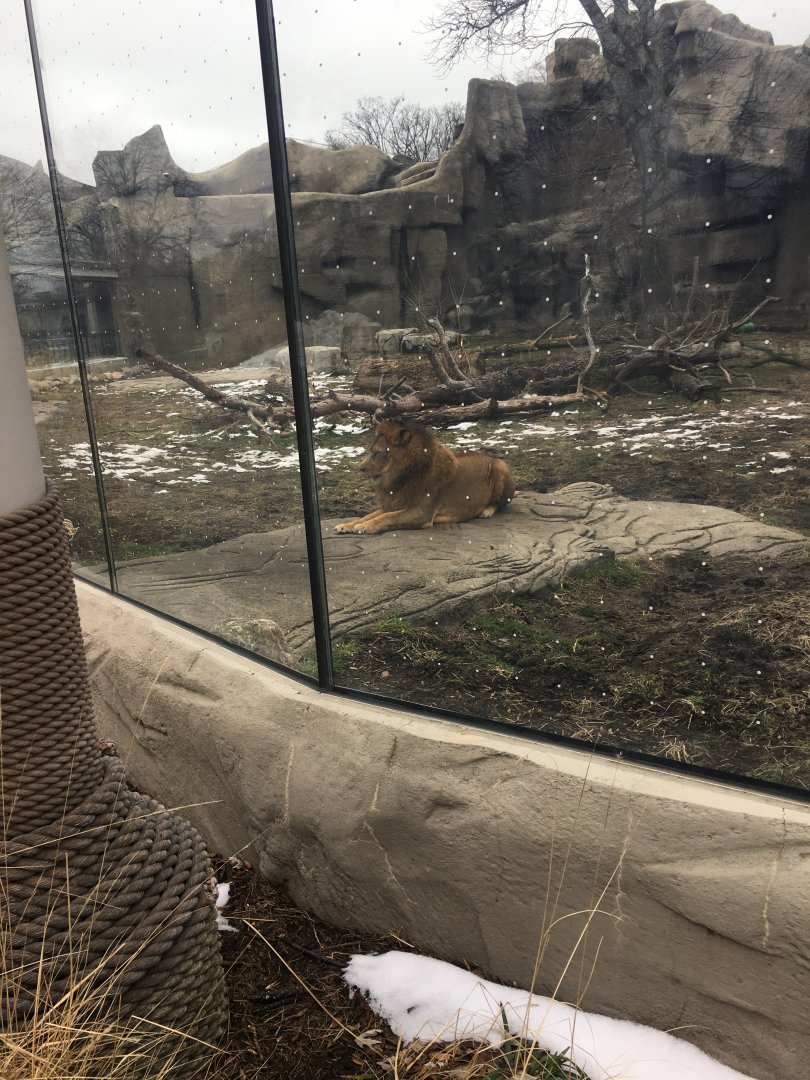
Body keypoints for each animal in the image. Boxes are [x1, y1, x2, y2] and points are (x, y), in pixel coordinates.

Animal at [335, 419, 516, 535]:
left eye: (377, 453)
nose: (360, 468)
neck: (398, 478)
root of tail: (489, 456)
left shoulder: (423, 513)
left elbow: (388, 517)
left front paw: (366, 527)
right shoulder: (394, 503)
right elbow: (370, 515)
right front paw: (347, 525)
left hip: (500, 464)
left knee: (499, 504)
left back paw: (486, 511)